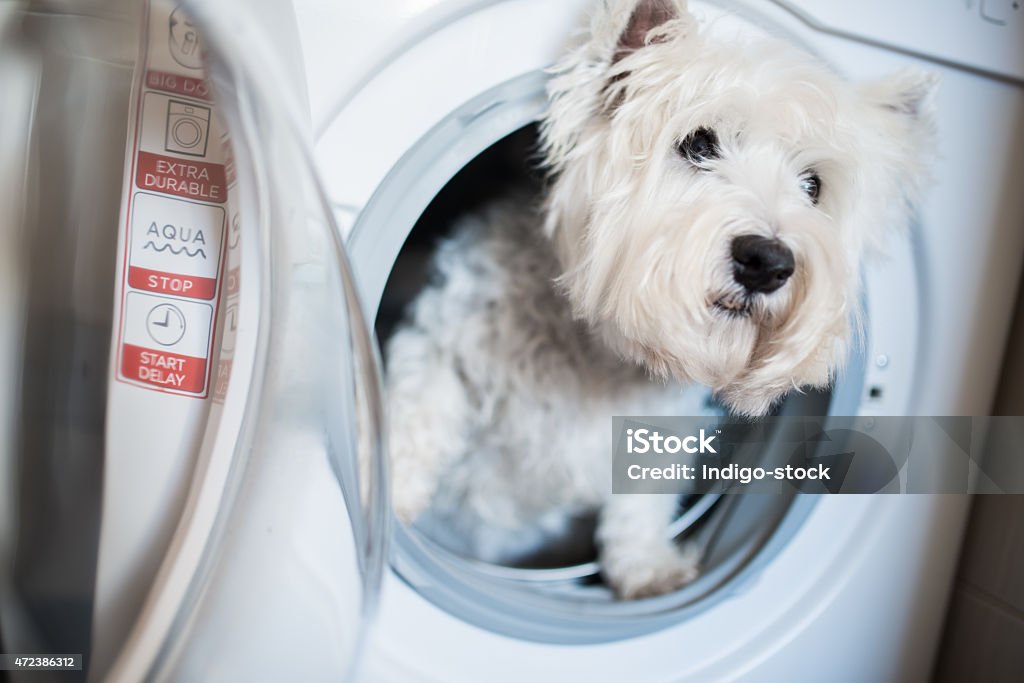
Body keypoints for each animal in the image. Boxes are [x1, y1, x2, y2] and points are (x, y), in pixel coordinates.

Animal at [385, 0, 937, 598]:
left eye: (812, 185)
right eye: (698, 144)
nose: (768, 262)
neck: (599, 354)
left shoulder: (659, 432)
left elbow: (640, 504)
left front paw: (649, 570)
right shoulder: (442, 343)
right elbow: (418, 415)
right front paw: (386, 492)